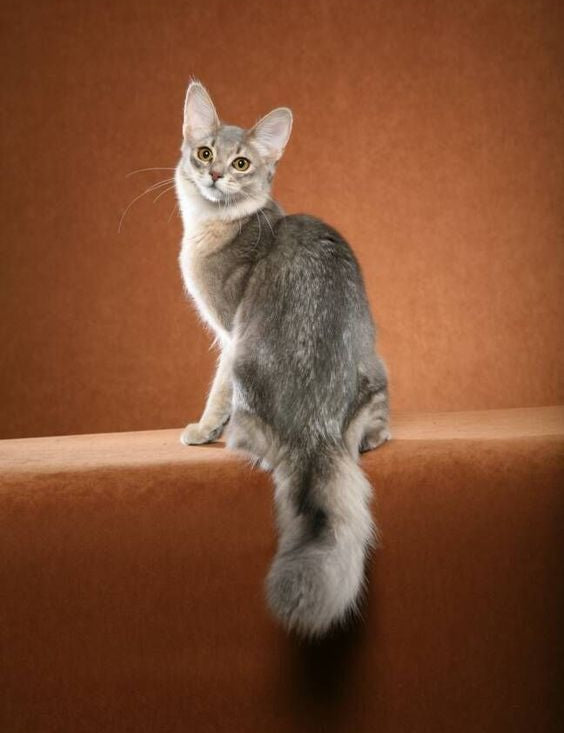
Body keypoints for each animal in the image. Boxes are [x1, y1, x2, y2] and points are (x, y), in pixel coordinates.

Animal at [175, 81, 388, 636]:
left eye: (241, 163)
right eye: (204, 153)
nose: (215, 174)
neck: (215, 226)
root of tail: (316, 427)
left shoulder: (230, 335)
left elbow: (216, 389)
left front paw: (202, 429)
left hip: (249, 368)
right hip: (377, 371)